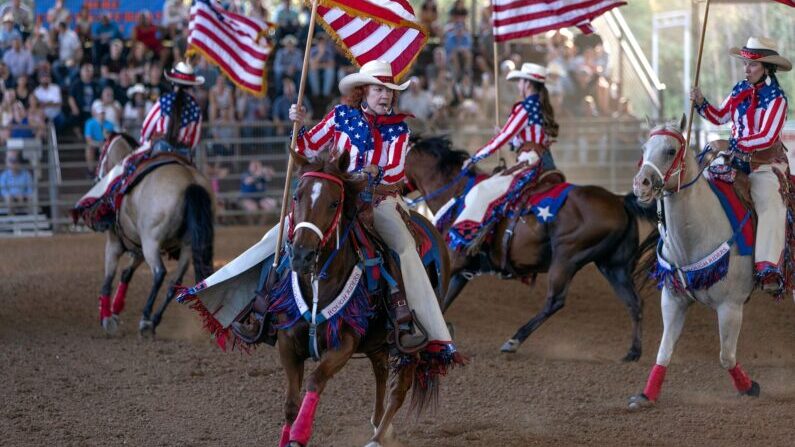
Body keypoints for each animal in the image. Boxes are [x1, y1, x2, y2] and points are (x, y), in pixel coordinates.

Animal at [86, 135, 215, 338]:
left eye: (101, 154)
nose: (96, 177)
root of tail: (190, 182)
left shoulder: (115, 243)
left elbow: (109, 277)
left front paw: (106, 317)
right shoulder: (137, 247)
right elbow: (126, 273)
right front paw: (115, 309)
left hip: (151, 243)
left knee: (159, 273)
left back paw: (146, 320)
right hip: (186, 247)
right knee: (174, 283)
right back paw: (154, 321)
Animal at [268, 151, 454, 447]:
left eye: (334, 202)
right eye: (296, 196)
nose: (302, 255)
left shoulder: (344, 343)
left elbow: (315, 380)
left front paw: (299, 435)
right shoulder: (287, 343)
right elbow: (290, 404)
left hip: (410, 342)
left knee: (399, 387)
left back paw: (377, 438)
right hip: (378, 341)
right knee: (381, 371)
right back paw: (380, 426)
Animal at [404, 136, 660, 360]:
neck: (456, 195)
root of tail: (620, 201)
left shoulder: (453, 260)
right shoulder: (463, 271)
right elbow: (441, 301)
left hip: (566, 258)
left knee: (555, 301)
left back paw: (513, 341)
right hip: (613, 266)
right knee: (634, 303)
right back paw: (633, 352)